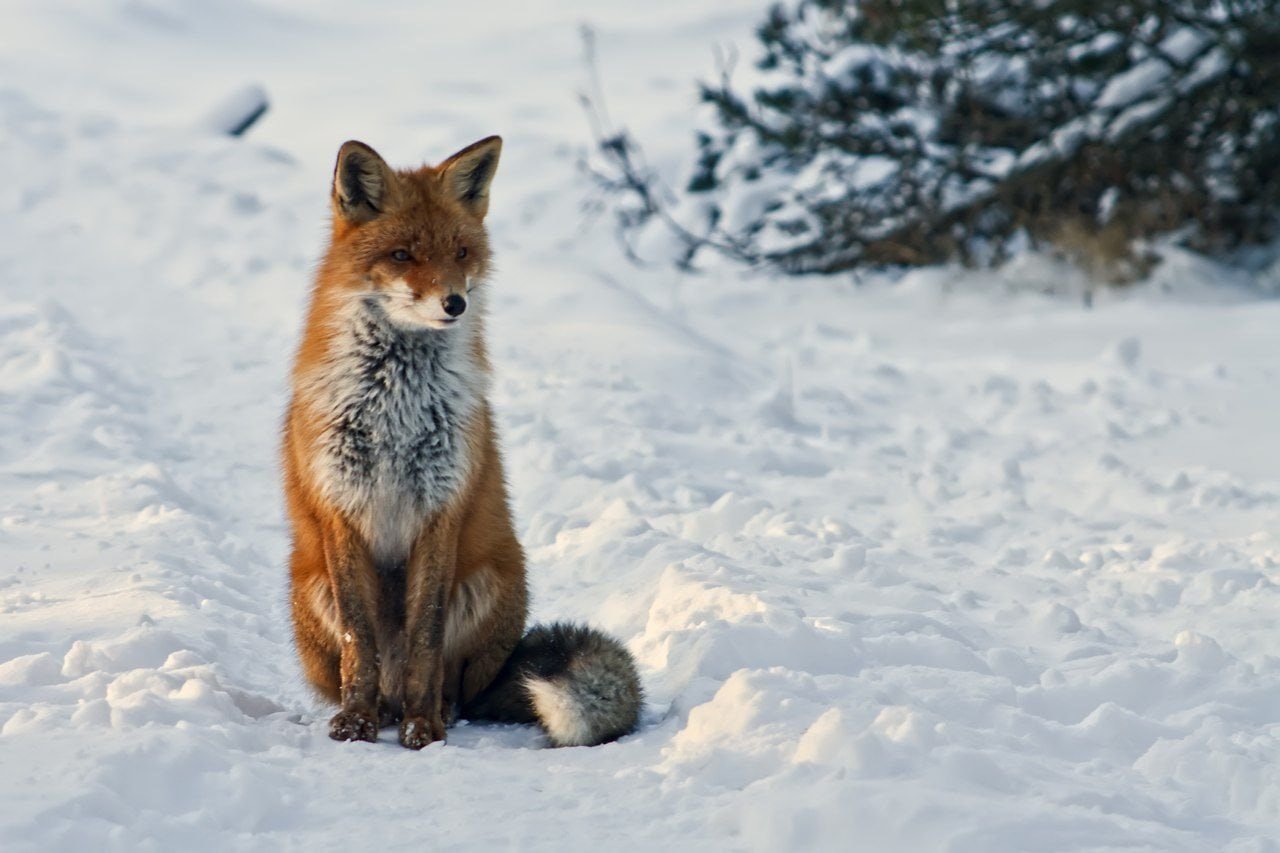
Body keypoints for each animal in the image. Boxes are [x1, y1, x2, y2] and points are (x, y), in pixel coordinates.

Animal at [280, 133, 640, 742]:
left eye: (462, 253)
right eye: (402, 255)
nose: (455, 303)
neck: (396, 406)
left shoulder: (440, 506)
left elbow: (426, 639)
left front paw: (423, 728)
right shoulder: (340, 506)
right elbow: (359, 642)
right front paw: (356, 720)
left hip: (487, 584)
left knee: (454, 684)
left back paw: (433, 711)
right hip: (311, 585)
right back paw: (378, 711)